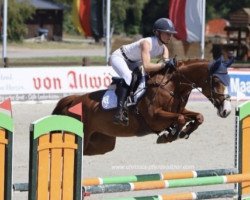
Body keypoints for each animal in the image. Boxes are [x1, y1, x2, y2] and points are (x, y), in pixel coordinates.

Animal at [52, 57, 232, 155]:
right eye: (216, 81)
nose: (227, 111)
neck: (172, 85)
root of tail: (74, 99)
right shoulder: (155, 118)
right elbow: (180, 118)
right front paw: (168, 136)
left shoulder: (178, 110)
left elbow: (197, 116)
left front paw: (182, 132)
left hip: (102, 143)